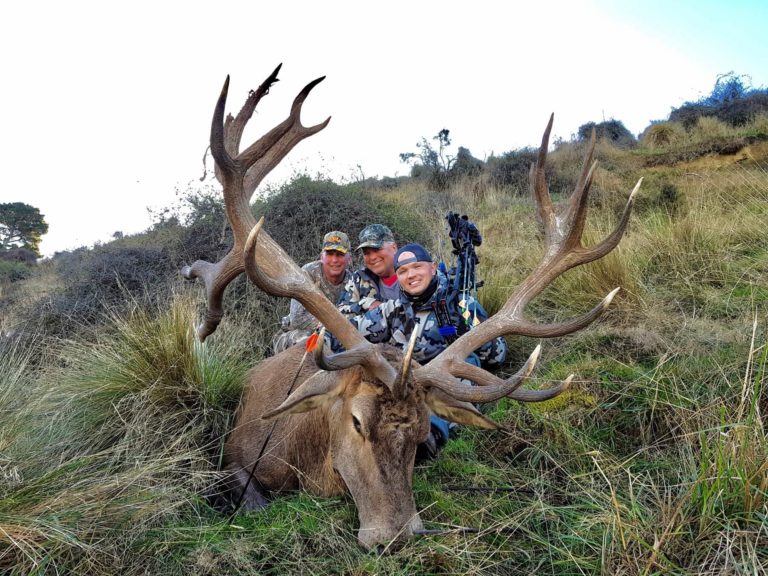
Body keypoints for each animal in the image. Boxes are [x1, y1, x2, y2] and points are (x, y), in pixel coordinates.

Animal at [180, 65, 641, 549]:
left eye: (421, 432)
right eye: (357, 422)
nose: (396, 535)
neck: (301, 456)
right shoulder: (234, 456)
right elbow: (254, 501)